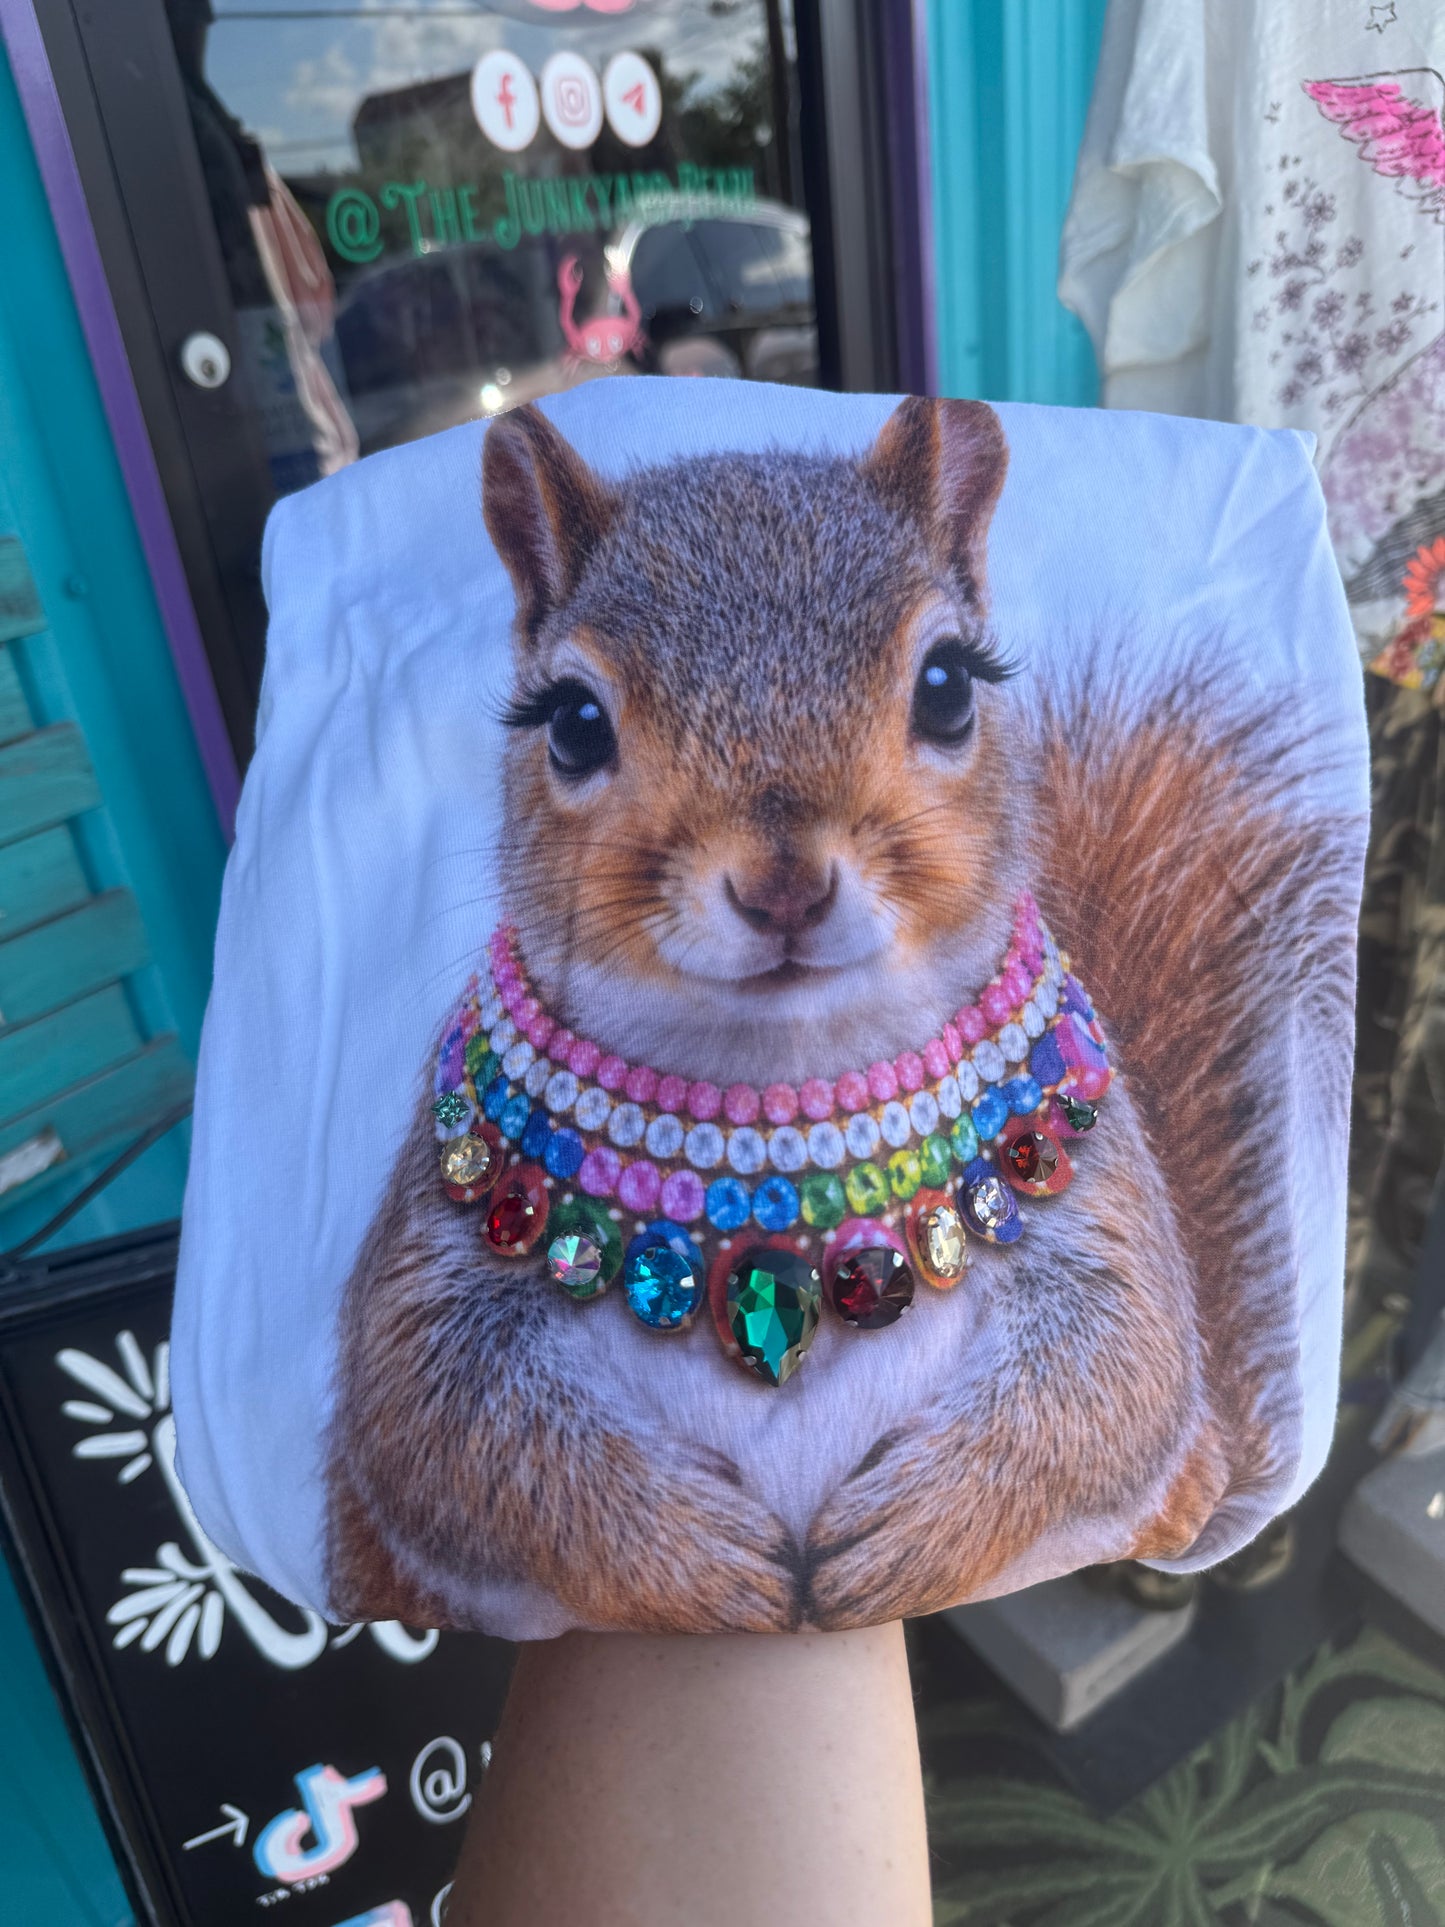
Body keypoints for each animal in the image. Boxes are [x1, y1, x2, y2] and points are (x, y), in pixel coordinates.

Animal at [324, 397, 1358, 1634]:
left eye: (949, 684)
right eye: (570, 721)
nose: (781, 884)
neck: (782, 1084)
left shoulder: (1097, 1217)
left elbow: (1115, 1374)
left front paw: (910, 1537)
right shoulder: (442, 1277)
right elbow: (447, 1423)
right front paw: (703, 1568)